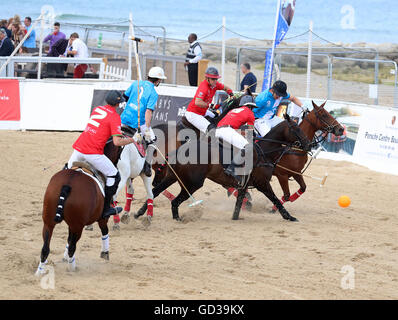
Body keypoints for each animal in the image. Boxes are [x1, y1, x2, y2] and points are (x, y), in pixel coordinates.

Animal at [35, 141, 119, 274]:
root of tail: (67, 185)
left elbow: (68, 240)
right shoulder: (102, 218)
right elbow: (104, 230)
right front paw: (105, 252)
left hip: (49, 222)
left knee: (45, 248)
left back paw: (39, 272)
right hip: (77, 226)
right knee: (72, 247)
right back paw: (72, 268)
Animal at [134, 114, 310, 222]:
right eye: (297, 128)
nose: (310, 144)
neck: (264, 152)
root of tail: (179, 150)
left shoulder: (244, 185)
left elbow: (238, 206)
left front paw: (236, 217)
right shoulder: (263, 184)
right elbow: (276, 200)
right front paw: (289, 217)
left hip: (173, 177)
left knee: (155, 192)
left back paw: (140, 213)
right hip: (192, 183)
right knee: (175, 201)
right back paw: (177, 218)